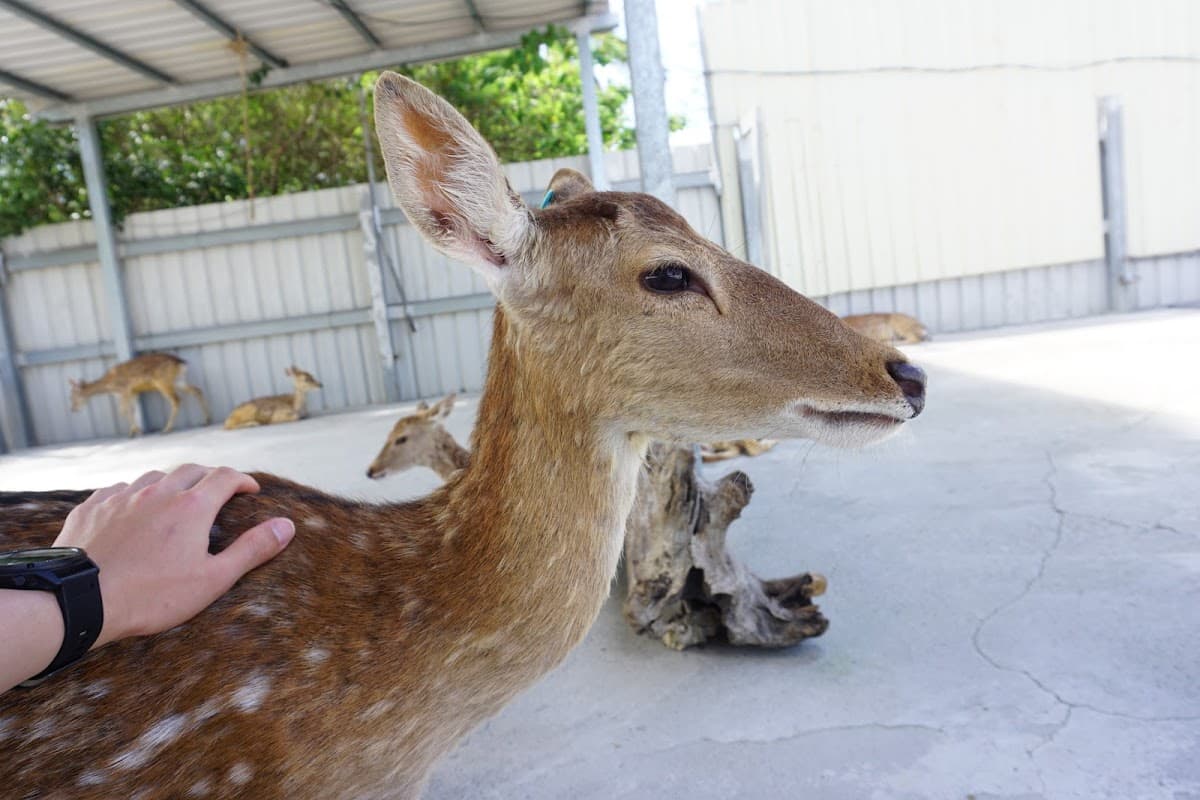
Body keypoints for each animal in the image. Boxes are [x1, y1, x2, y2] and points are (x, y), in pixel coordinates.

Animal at [68, 352, 211, 436]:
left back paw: (166, 429)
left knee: (176, 400)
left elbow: (123, 411)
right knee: (197, 390)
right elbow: (131, 410)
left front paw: (134, 432)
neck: (109, 384)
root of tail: (182, 363)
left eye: (72, 397)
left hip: (162, 381)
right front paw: (136, 430)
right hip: (179, 380)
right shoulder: (133, 392)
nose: (73, 409)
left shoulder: (125, 389)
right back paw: (206, 420)